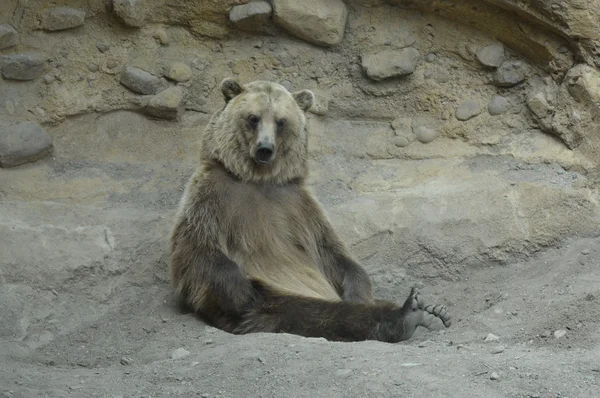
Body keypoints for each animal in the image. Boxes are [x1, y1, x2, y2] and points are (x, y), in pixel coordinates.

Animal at [169, 77, 450, 342]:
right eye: (253, 118)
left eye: (281, 121)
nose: (265, 148)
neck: (258, 179)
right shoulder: (213, 197)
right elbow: (197, 250)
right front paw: (240, 291)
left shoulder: (300, 206)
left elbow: (334, 253)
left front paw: (359, 290)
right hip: (274, 300)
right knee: (311, 313)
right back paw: (407, 315)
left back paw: (433, 312)